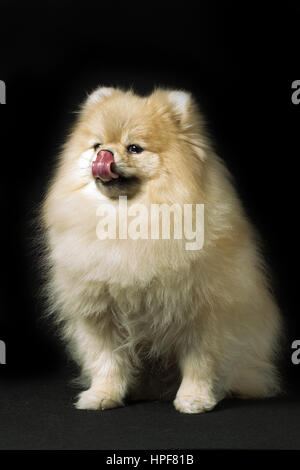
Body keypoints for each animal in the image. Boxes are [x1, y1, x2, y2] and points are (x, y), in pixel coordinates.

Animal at [41, 86, 282, 414]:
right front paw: (102, 394)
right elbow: (106, 360)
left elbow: (200, 362)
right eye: (96, 145)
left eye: (134, 148)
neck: (126, 219)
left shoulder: (202, 313)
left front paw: (194, 398)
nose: (104, 155)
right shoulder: (99, 313)